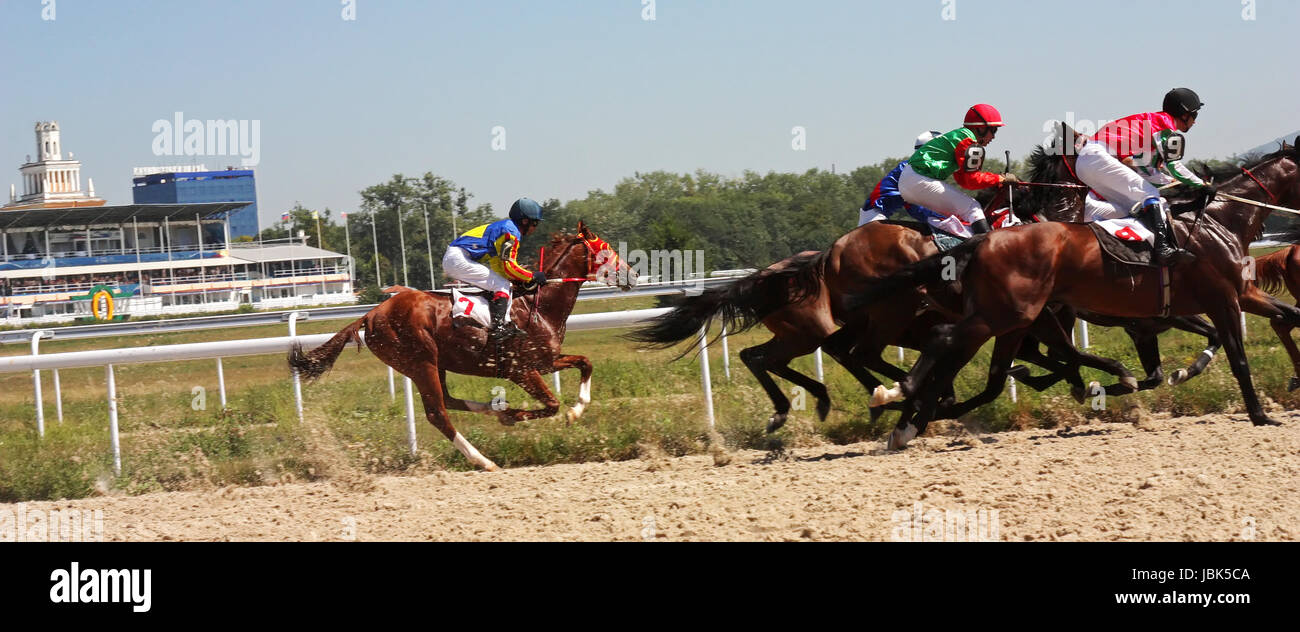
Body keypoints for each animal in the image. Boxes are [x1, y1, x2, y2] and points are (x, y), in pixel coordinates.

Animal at [293, 222, 639, 468]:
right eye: (606, 250)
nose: (633, 276)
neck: (538, 305)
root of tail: (371, 314)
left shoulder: (545, 361)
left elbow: (585, 362)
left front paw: (576, 410)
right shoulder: (521, 370)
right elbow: (552, 405)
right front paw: (525, 416)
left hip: (434, 364)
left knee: (447, 401)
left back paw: (494, 408)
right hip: (421, 362)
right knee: (438, 414)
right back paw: (484, 459)